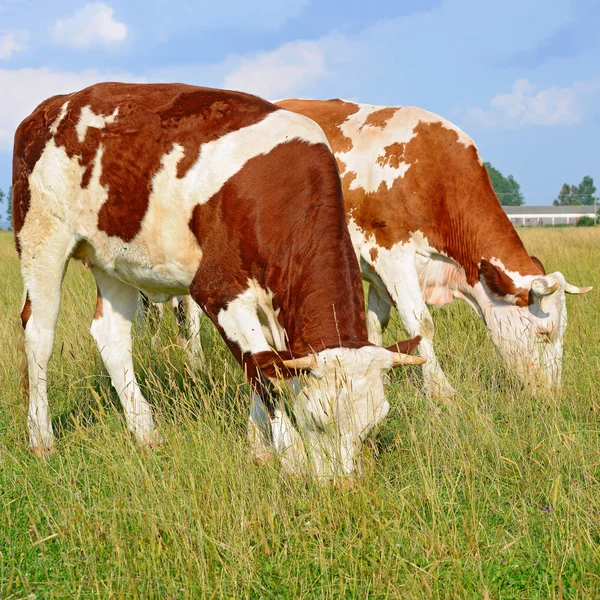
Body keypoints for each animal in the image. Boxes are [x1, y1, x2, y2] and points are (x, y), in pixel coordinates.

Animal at [11, 83, 424, 478]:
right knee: (39, 335)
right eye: (318, 418)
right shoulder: (217, 290)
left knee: (111, 337)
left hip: (113, 258)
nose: (342, 482)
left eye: (374, 422)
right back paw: (41, 438)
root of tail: (55, 104)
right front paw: (289, 458)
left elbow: (266, 366)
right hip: (41, 237)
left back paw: (145, 434)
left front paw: (260, 449)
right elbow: (262, 374)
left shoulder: (272, 302)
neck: (276, 194)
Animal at [274, 99, 592, 398]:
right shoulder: (392, 256)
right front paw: (441, 391)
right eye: (544, 333)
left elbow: (376, 323)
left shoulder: (378, 272)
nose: (554, 394)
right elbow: (421, 324)